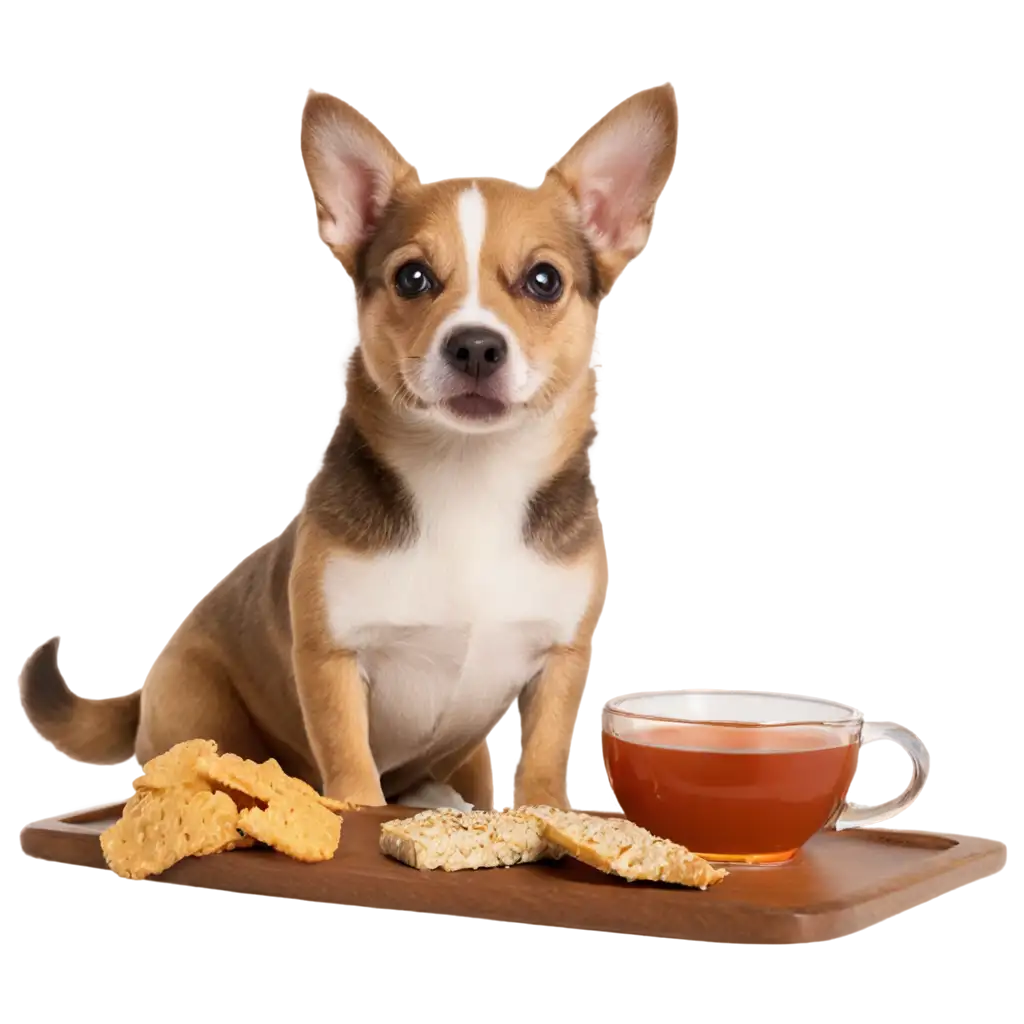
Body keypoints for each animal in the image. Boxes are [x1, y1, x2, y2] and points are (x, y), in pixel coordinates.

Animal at [14, 79, 679, 811]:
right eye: (413, 278)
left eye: (544, 281)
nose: (475, 345)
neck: (470, 476)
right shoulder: (332, 660)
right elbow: (352, 766)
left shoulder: (558, 663)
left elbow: (541, 762)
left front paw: (545, 812)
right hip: (200, 708)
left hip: (468, 759)